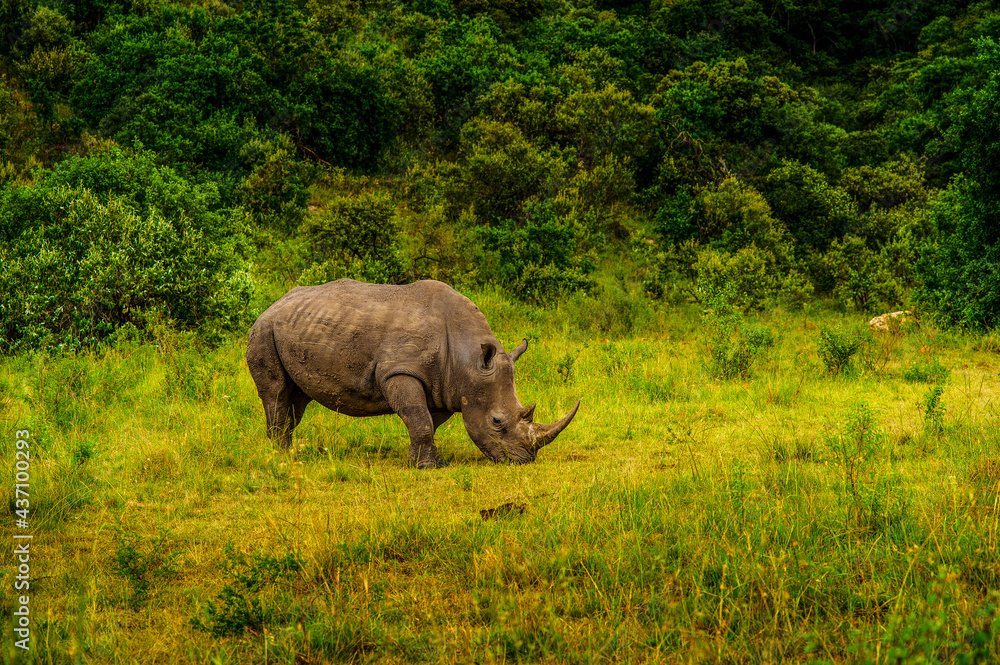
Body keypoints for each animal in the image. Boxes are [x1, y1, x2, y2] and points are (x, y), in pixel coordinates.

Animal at [246, 279, 580, 467]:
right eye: (497, 422)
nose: (523, 461)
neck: (467, 359)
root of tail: (274, 304)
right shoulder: (399, 371)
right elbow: (418, 418)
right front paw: (427, 467)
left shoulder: (445, 386)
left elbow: (426, 421)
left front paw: (428, 460)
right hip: (263, 329)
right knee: (276, 393)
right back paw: (280, 457)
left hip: (294, 327)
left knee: (297, 398)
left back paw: (288, 452)